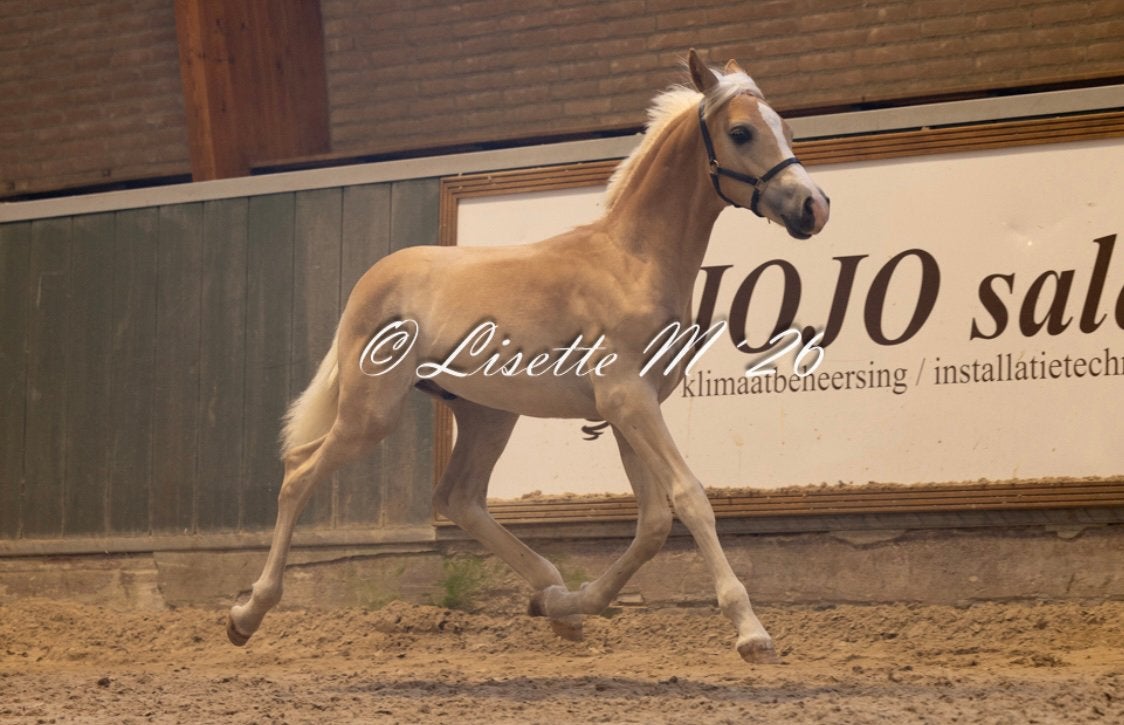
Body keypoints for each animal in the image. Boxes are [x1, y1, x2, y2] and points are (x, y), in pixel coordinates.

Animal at [227, 49, 830, 664]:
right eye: (741, 131)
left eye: (786, 128)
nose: (814, 207)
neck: (633, 263)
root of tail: (372, 279)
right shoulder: (628, 400)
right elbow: (689, 498)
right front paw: (751, 632)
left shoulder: (629, 410)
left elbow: (653, 524)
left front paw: (570, 606)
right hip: (371, 412)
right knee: (299, 472)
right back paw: (245, 615)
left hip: (487, 413)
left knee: (458, 497)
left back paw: (551, 595)